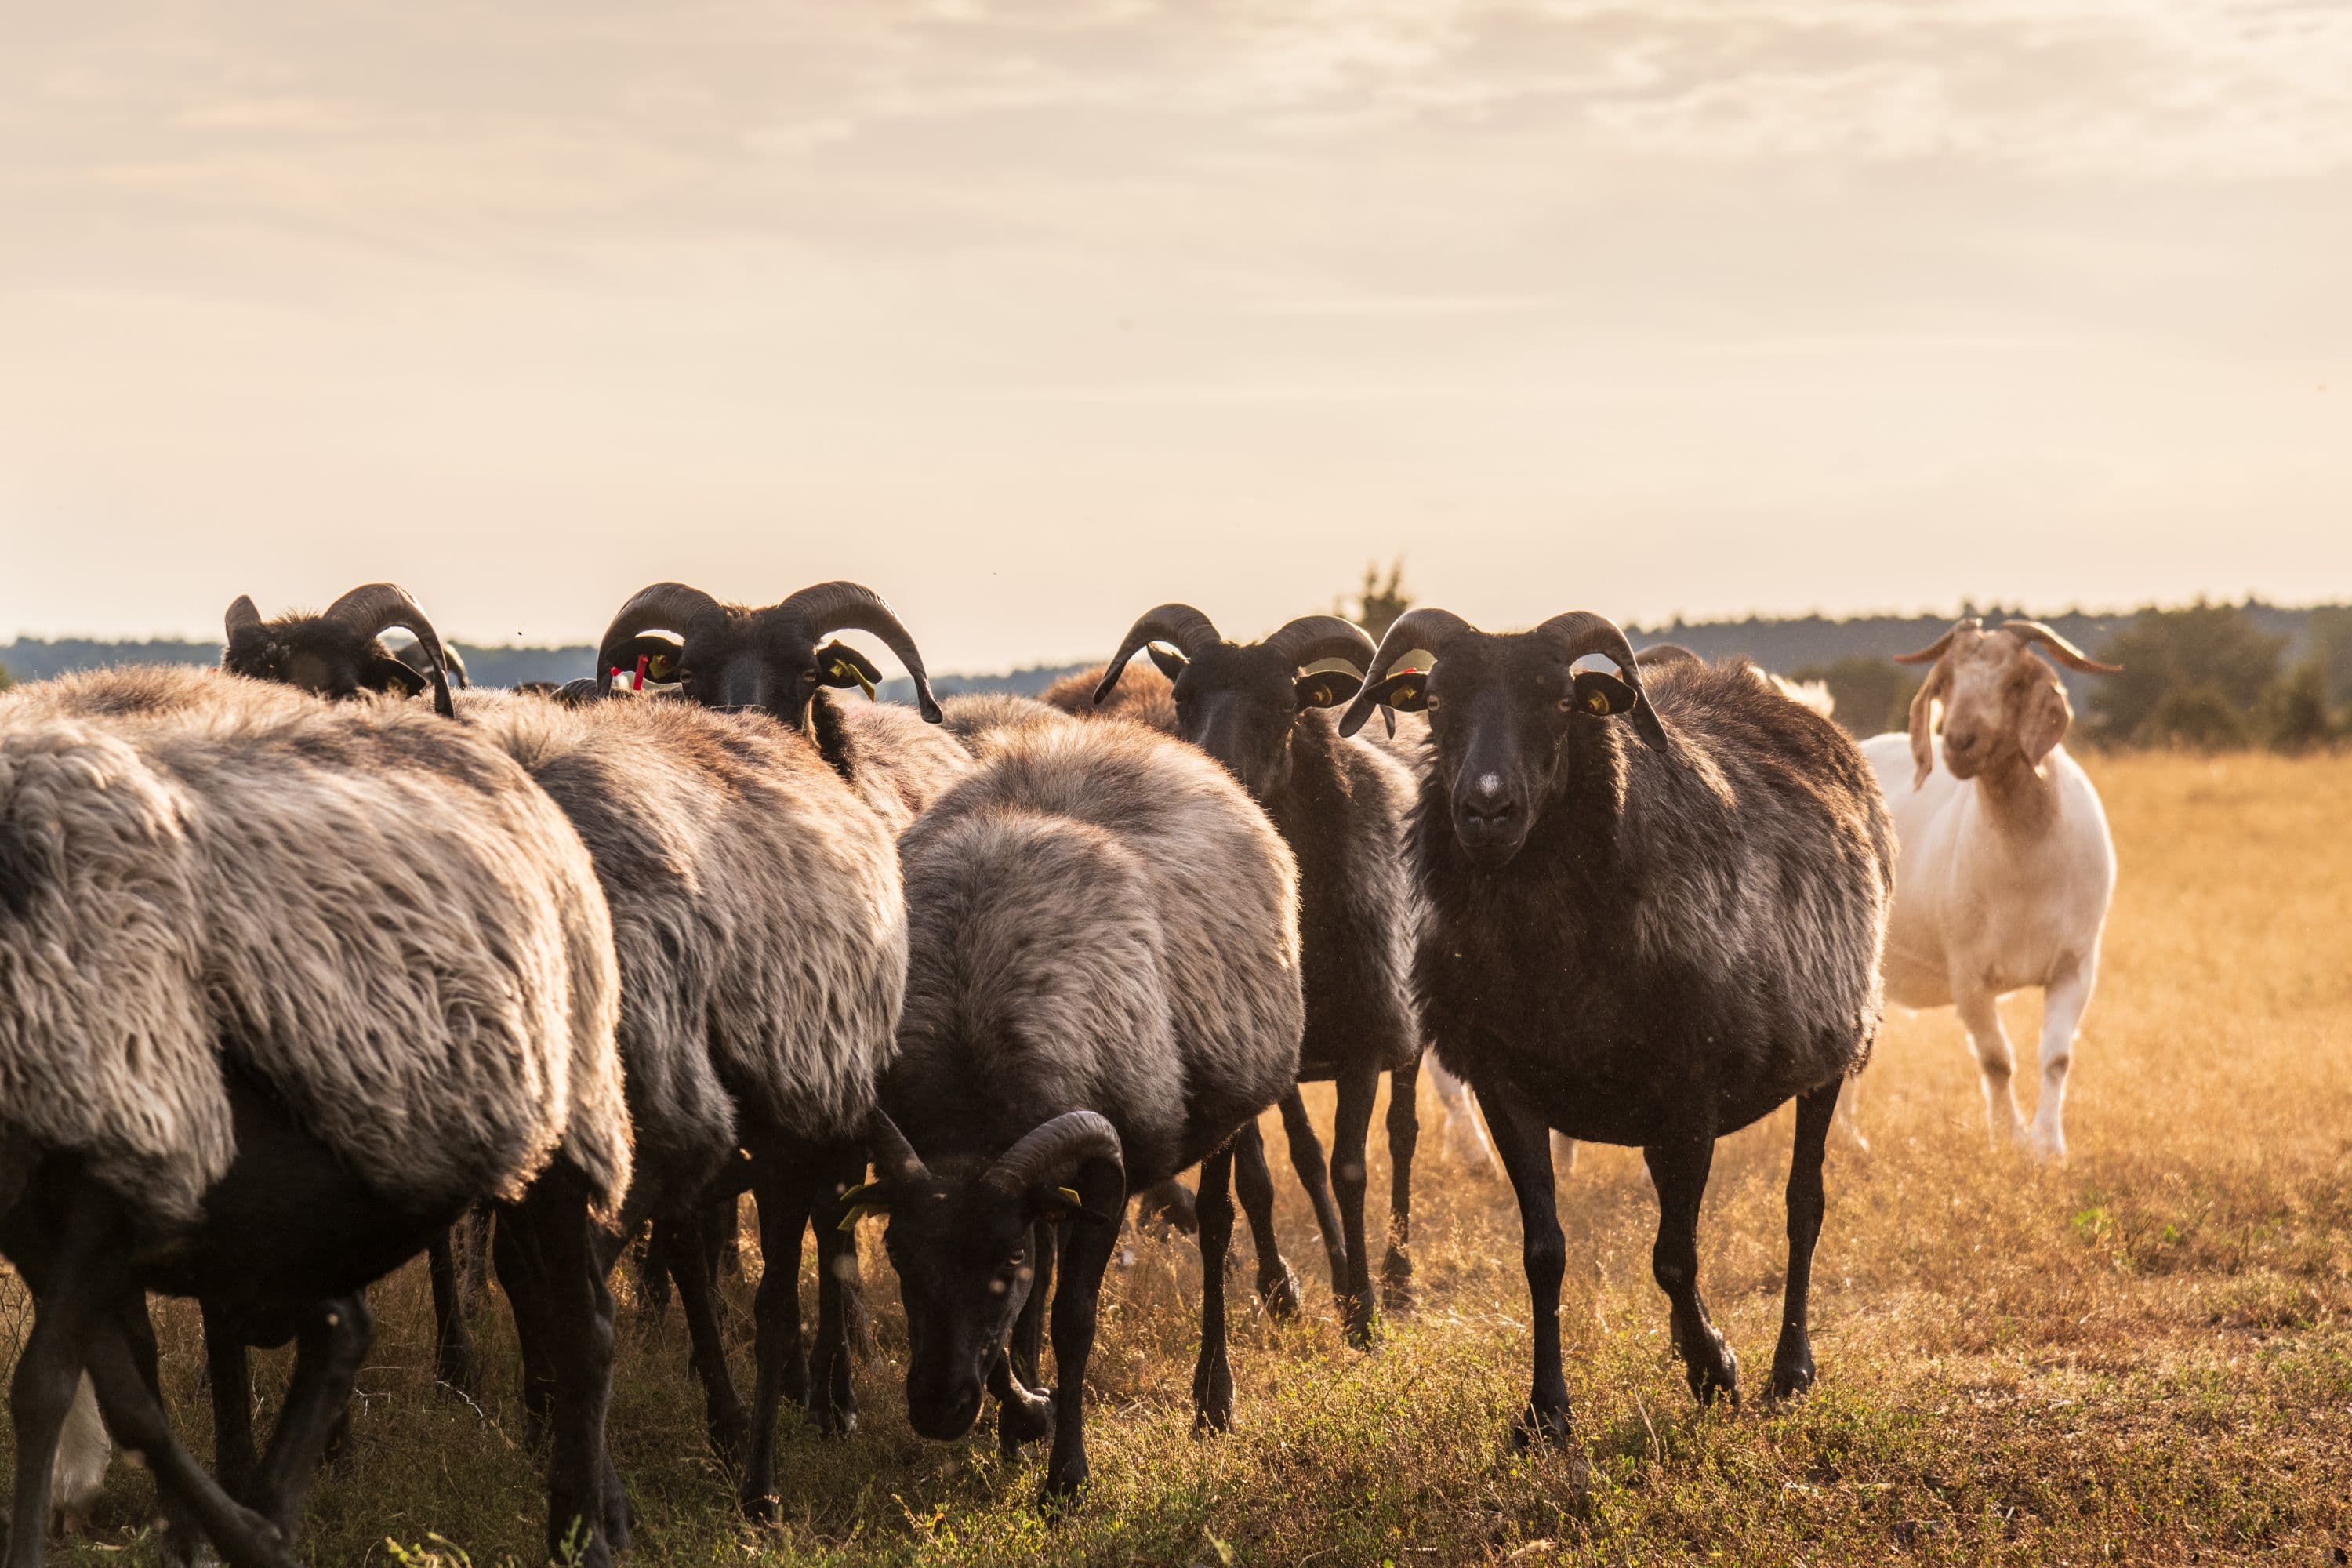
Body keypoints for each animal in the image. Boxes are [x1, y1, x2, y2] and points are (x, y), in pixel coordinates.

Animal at [851, 719, 1308, 1504]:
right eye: (898, 1255)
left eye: (1003, 1259)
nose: (939, 1410)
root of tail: (1132, 734)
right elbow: (1031, 1301)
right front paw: (1023, 1416)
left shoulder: (1107, 1177)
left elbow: (1071, 1317)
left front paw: (1064, 1473)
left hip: (1231, 1110)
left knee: (1218, 1227)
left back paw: (1213, 1402)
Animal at [1091, 606, 1421, 1345]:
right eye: (1183, 698)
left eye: (1286, 705)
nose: (1215, 783)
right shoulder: (1250, 1051)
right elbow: (1261, 1180)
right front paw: (1282, 1293)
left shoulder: (1364, 1043)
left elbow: (1352, 1168)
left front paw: (1365, 1315)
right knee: (1305, 1156)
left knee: (1403, 1136)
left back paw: (1398, 1278)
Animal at [1345, 606, 1891, 1439]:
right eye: (1435, 701)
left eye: (1560, 702)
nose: (1487, 811)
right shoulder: (1506, 1085)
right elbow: (1545, 1253)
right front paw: (1546, 1413)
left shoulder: (1691, 1087)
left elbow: (1675, 1254)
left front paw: (1714, 1369)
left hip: (1829, 1047)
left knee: (1804, 1208)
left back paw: (1789, 1369)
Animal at [1863, 620, 2126, 1161]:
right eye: (1946, 682)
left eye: (2016, 682)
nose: (1959, 741)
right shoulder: (1968, 974)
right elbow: (1996, 1060)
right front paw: (2009, 1140)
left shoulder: (2076, 964)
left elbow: (2056, 1057)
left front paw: (2049, 1147)